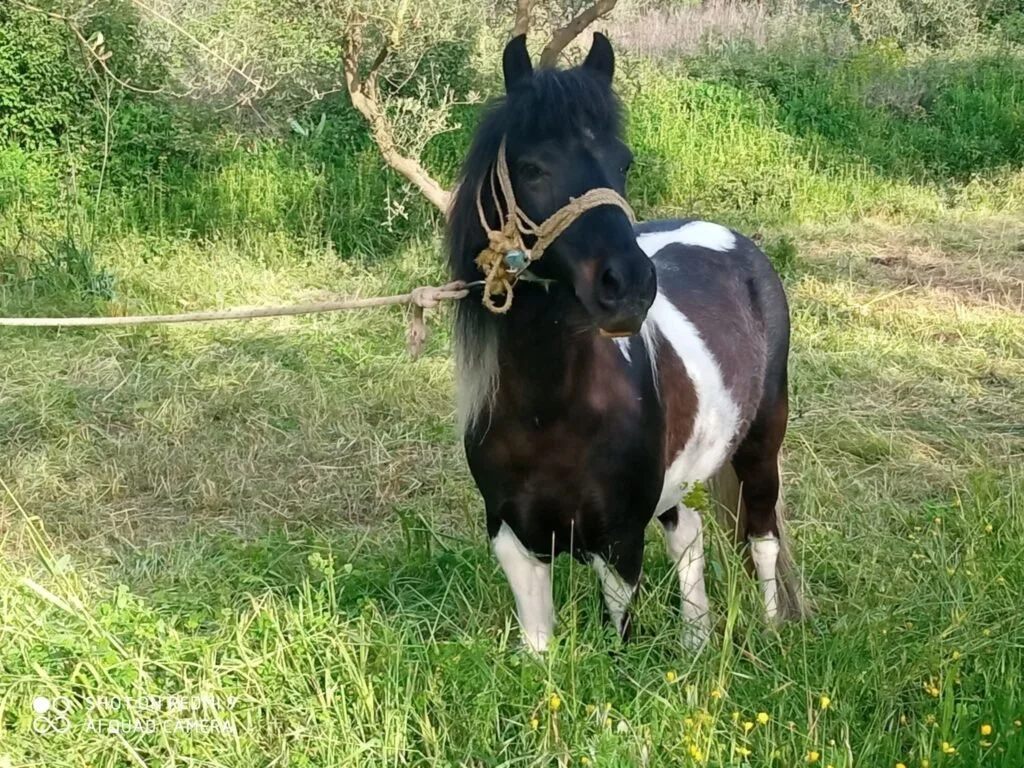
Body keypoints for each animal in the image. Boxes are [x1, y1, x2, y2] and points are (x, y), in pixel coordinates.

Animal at [445, 31, 806, 653]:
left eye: (623, 162)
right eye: (532, 167)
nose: (629, 288)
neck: (550, 409)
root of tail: (737, 242)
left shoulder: (617, 544)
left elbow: (619, 648)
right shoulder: (514, 539)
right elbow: (539, 650)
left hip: (762, 444)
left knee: (762, 538)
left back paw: (770, 629)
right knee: (689, 533)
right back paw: (697, 641)